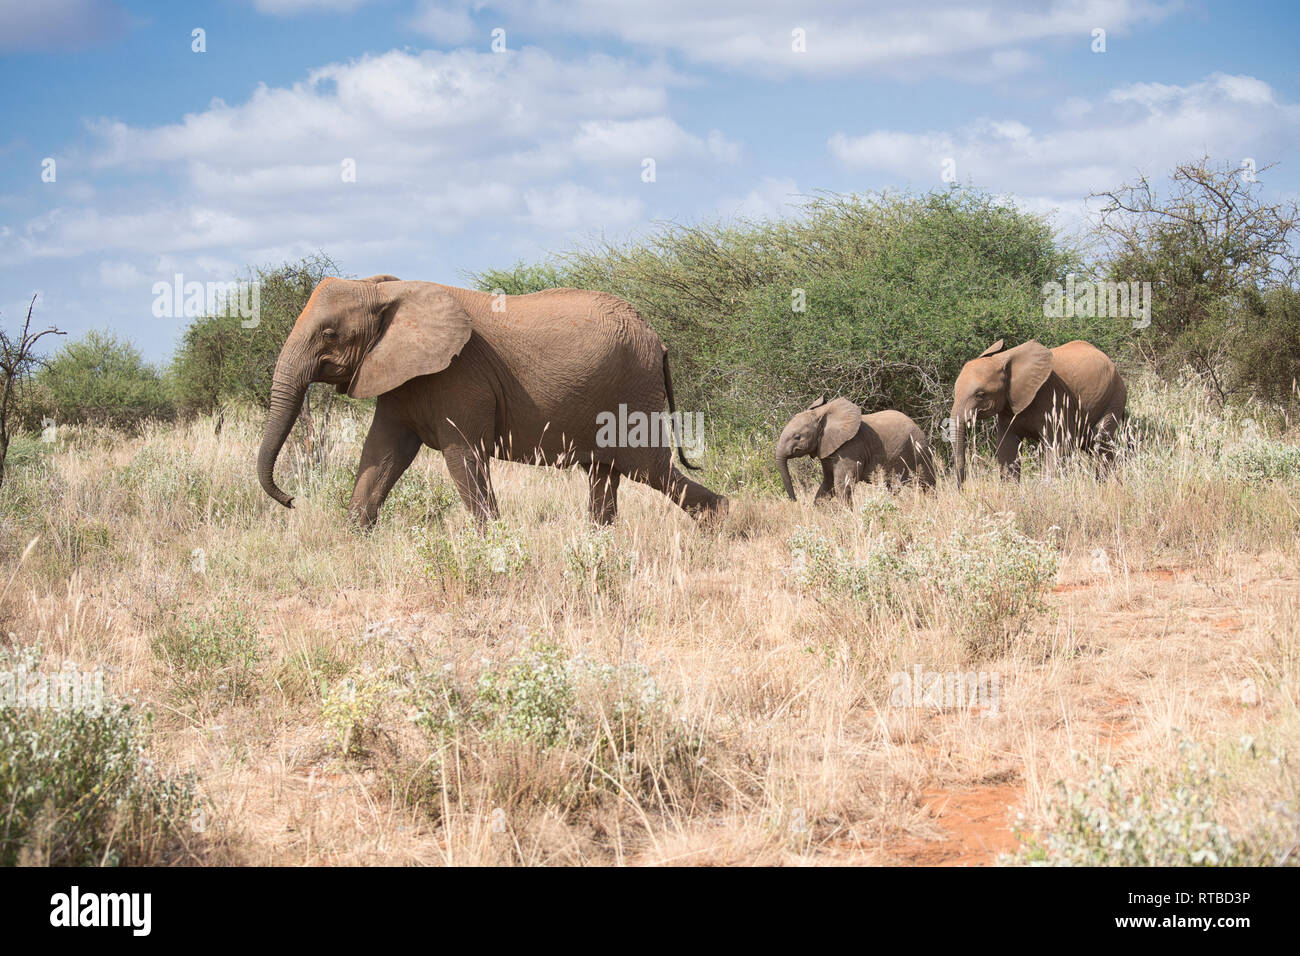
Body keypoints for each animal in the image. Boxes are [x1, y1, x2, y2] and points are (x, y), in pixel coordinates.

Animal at [257, 277, 728, 528]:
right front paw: (353, 538)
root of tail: (659, 341)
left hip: (633, 390)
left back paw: (720, 523)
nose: (292, 500)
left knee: (649, 468)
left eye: (329, 334)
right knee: (605, 474)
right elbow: (382, 454)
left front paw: (492, 545)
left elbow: (462, 455)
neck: (387, 289)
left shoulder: (460, 376)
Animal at [769, 395, 935, 504]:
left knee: (928, 483)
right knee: (893, 487)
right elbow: (828, 483)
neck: (823, 415)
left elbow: (843, 485)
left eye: (797, 437)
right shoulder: (827, 449)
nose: (795, 501)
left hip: (919, 451)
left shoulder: (851, 448)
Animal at [951, 338, 1123, 486]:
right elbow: (1007, 448)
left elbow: (1057, 447)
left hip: (1114, 396)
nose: (961, 489)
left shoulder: (1054, 398)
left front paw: (1047, 489)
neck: (1004, 359)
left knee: (1101, 442)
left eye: (980, 395)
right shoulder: (1009, 406)